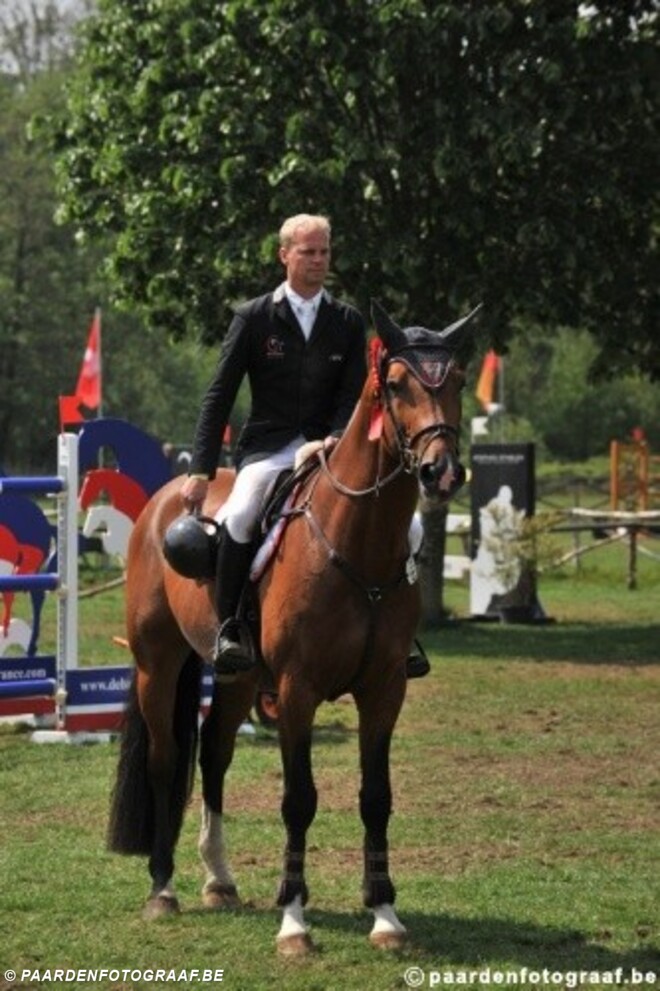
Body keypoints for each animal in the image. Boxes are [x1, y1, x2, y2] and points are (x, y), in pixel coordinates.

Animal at [108, 300, 480, 954]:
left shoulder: (385, 689)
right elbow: (298, 800)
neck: (357, 542)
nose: (441, 472)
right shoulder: (297, 691)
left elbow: (376, 797)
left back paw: (219, 879)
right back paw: (163, 888)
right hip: (158, 664)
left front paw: (385, 915)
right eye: (397, 384)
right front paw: (294, 921)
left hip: (234, 679)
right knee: (166, 758)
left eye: (459, 380)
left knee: (214, 754)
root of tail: (168, 496)